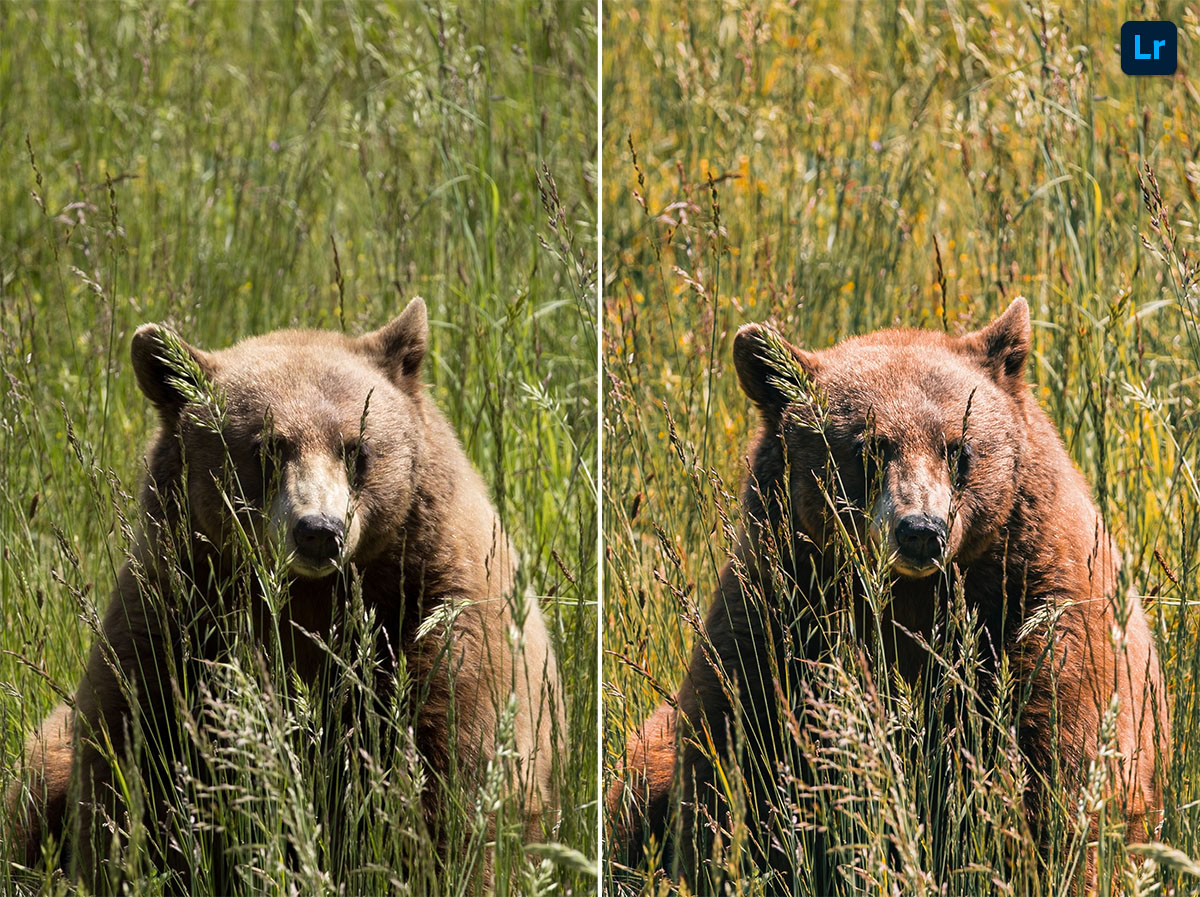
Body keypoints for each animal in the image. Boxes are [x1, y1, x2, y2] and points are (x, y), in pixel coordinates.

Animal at [7, 298, 563, 891]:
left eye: (355, 448)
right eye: (268, 449)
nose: (318, 530)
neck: (309, 600)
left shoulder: (438, 619)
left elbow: (455, 774)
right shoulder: (175, 620)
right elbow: (132, 761)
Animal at [608, 298, 1169, 891]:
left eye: (958, 449)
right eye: (869, 450)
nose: (921, 530)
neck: (912, 601)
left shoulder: (1042, 615)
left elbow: (1062, 769)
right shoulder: (777, 620)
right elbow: (732, 758)